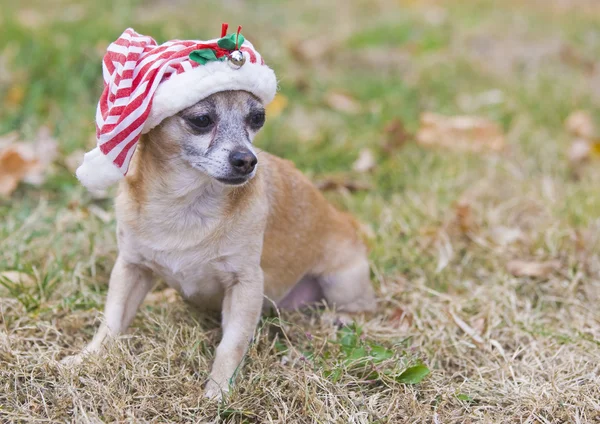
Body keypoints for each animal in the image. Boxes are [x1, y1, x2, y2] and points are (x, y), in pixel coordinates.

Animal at [64, 89, 376, 398]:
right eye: (202, 120)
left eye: (257, 118)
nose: (248, 160)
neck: (186, 206)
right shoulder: (131, 268)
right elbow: (112, 321)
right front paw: (88, 357)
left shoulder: (245, 284)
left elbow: (231, 344)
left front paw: (219, 389)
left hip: (341, 281)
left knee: (365, 307)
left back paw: (340, 318)